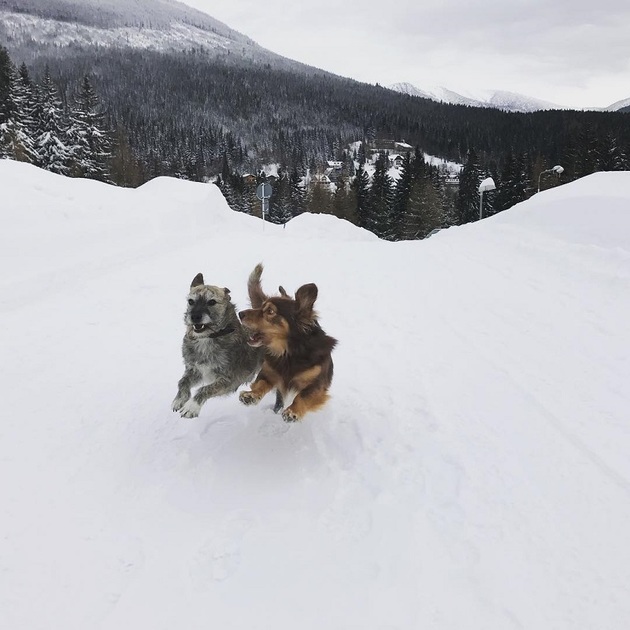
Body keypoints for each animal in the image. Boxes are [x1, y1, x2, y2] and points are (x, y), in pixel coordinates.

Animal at [172, 272, 262, 418]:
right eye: (191, 301)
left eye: (212, 302)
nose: (195, 317)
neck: (209, 338)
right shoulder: (196, 370)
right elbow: (182, 382)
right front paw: (179, 399)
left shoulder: (228, 380)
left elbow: (205, 388)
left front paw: (192, 406)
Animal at [238, 264, 338, 422]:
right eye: (261, 306)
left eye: (270, 311)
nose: (240, 314)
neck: (289, 352)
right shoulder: (268, 373)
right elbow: (261, 384)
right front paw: (251, 395)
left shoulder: (317, 385)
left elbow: (302, 396)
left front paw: (293, 411)